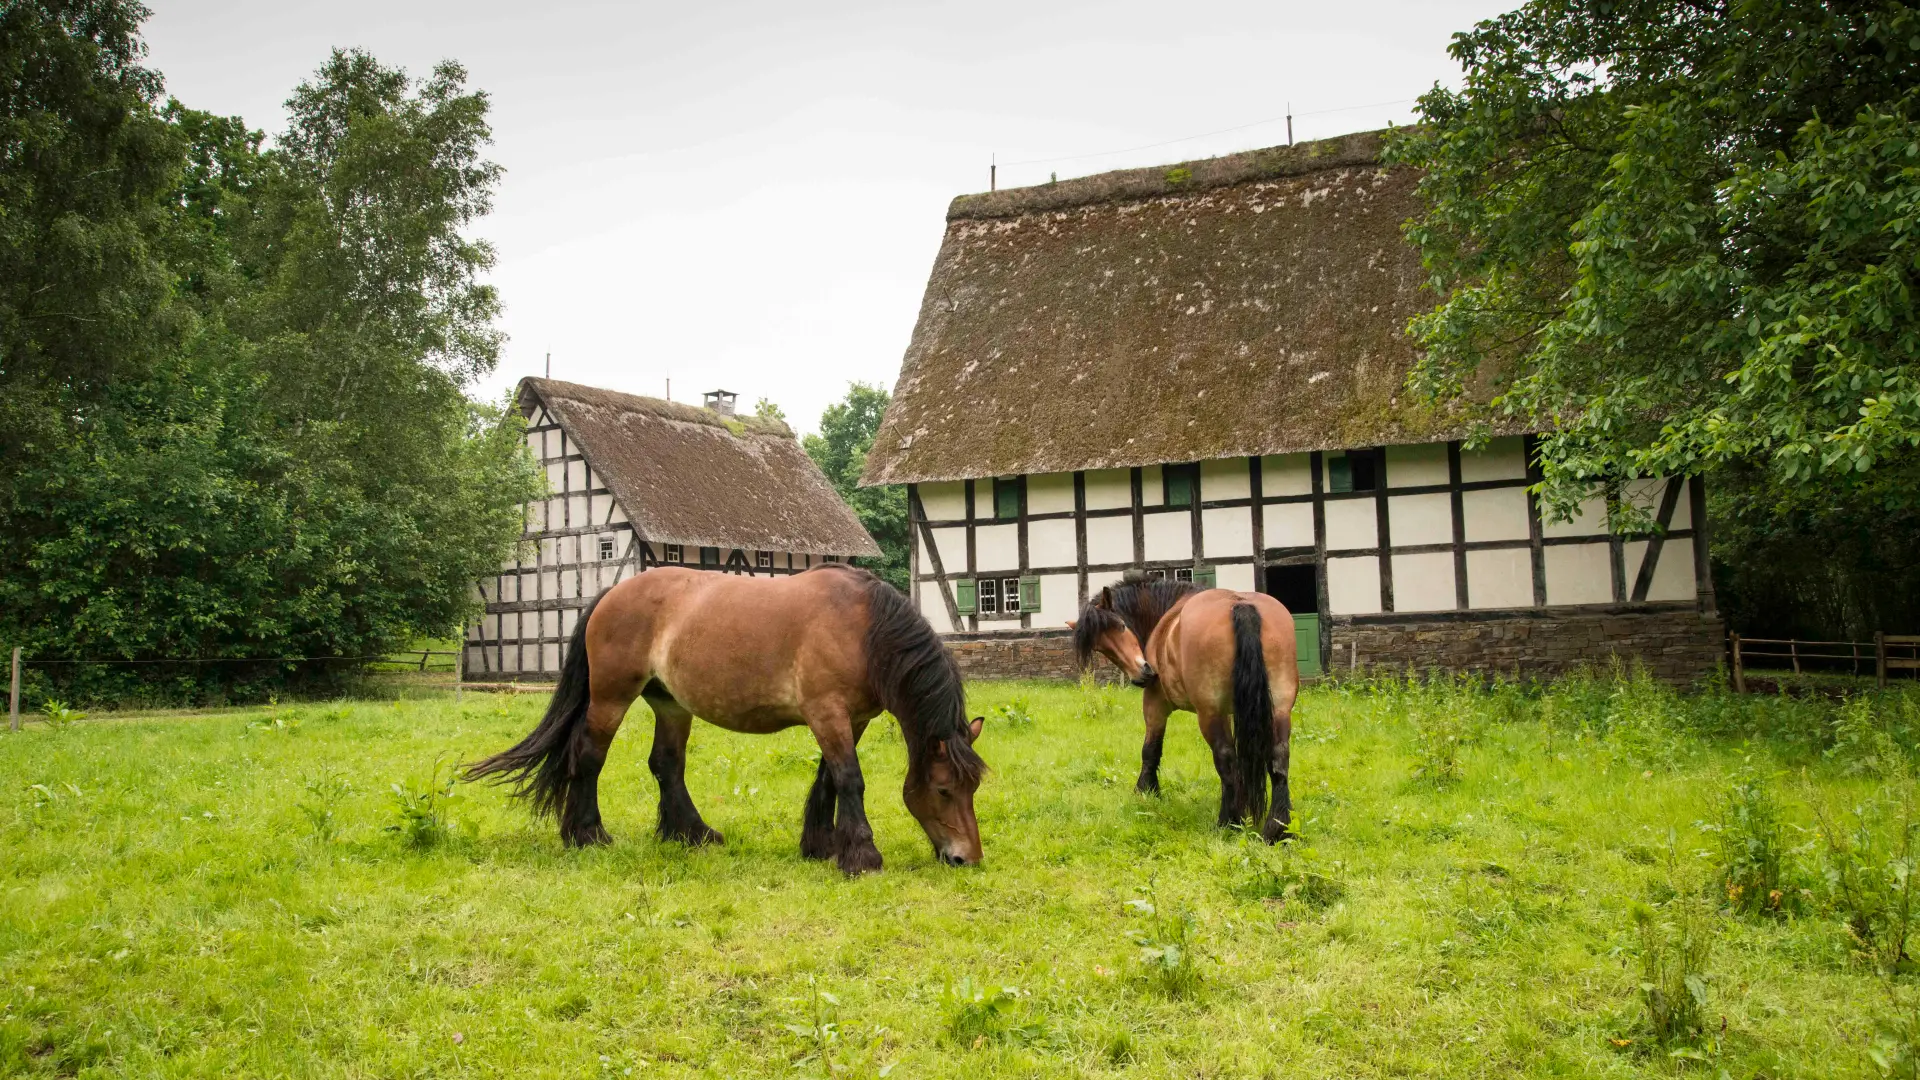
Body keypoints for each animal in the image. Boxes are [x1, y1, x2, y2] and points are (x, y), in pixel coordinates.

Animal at [464, 563, 986, 875]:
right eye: (944, 790)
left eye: (973, 788)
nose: (968, 858)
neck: (862, 629)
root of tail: (612, 592)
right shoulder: (828, 714)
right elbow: (850, 780)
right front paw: (861, 856)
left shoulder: (849, 719)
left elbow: (830, 779)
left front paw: (822, 846)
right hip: (612, 697)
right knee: (589, 757)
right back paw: (587, 834)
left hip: (671, 705)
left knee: (666, 765)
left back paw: (692, 834)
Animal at [1070, 572, 1299, 842]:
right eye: (1101, 648)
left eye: (1122, 626)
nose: (1142, 674)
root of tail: (1241, 606)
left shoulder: (1155, 702)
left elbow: (1150, 750)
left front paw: (1146, 791)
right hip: (1279, 710)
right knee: (1278, 759)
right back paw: (1278, 827)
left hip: (1209, 714)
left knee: (1225, 759)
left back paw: (1228, 821)